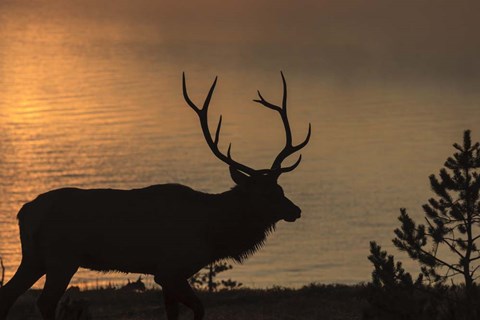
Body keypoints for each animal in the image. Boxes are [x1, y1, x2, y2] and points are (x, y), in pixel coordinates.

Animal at [0, 72, 312, 320]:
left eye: (280, 189)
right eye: (264, 193)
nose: (295, 210)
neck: (213, 232)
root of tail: (24, 213)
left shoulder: (164, 274)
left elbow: (172, 313)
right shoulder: (171, 268)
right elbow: (199, 309)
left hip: (34, 257)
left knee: (9, 293)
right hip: (62, 257)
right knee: (44, 301)